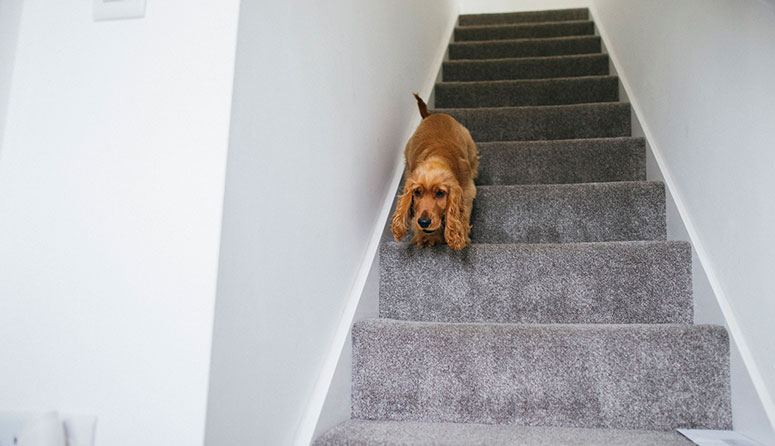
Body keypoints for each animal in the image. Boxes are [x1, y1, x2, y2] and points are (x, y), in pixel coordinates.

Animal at [394, 94, 478, 251]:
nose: (424, 222)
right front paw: (427, 238)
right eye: (417, 192)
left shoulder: (467, 192)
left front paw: (461, 236)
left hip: (470, 145)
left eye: (440, 193)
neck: (439, 155)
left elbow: (463, 216)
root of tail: (432, 115)